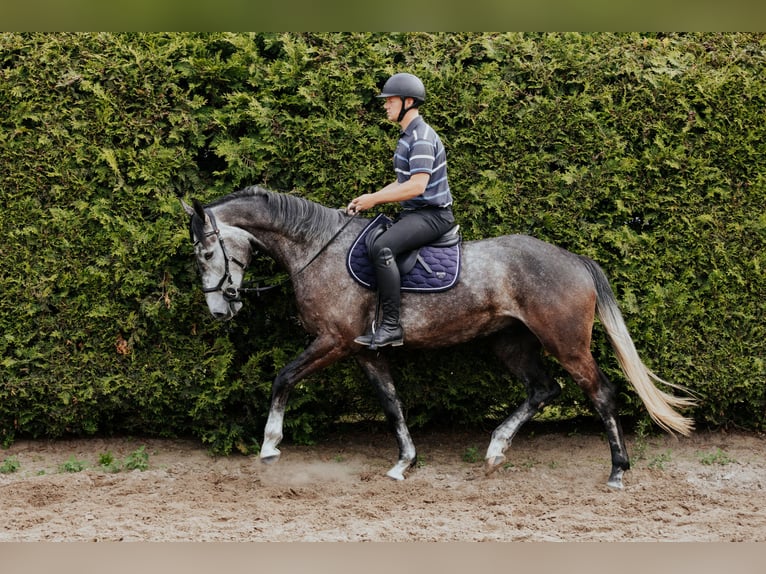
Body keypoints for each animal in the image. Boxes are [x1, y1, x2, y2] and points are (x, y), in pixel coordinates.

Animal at [183, 188, 700, 490]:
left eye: (206, 253)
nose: (220, 310)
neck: (317, 249)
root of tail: (574, 260)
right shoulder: (363, 350)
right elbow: (391, 403)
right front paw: (404, 462)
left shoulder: (334, 340)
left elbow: (283, 378)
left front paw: (269, 445)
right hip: (510, 343)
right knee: (543, 390)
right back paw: (495, 450)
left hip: (567, 344)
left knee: (601, 394)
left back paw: (616, 470)